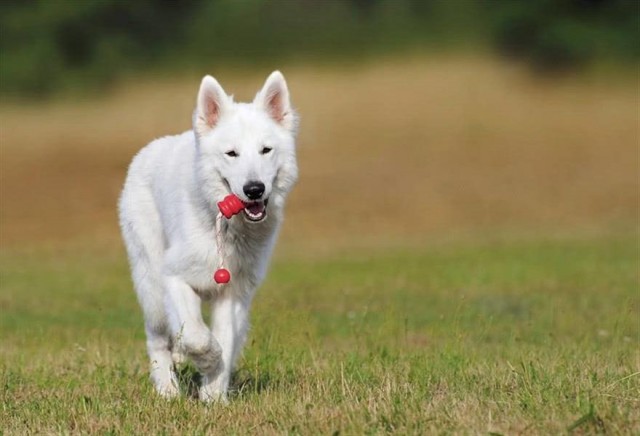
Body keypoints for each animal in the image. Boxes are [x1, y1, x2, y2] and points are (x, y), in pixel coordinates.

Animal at [119, 70, 298, 402]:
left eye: (266, 150)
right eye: (232, 154)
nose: (254, 189)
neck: (226, 227)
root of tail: (147, 150)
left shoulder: (233, 293)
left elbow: (224, 339)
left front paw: (214, 396)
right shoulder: (174, 278)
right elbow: (196, 335)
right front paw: (207, 361)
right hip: (151, 285)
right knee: (157, 338)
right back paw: (167, 389)